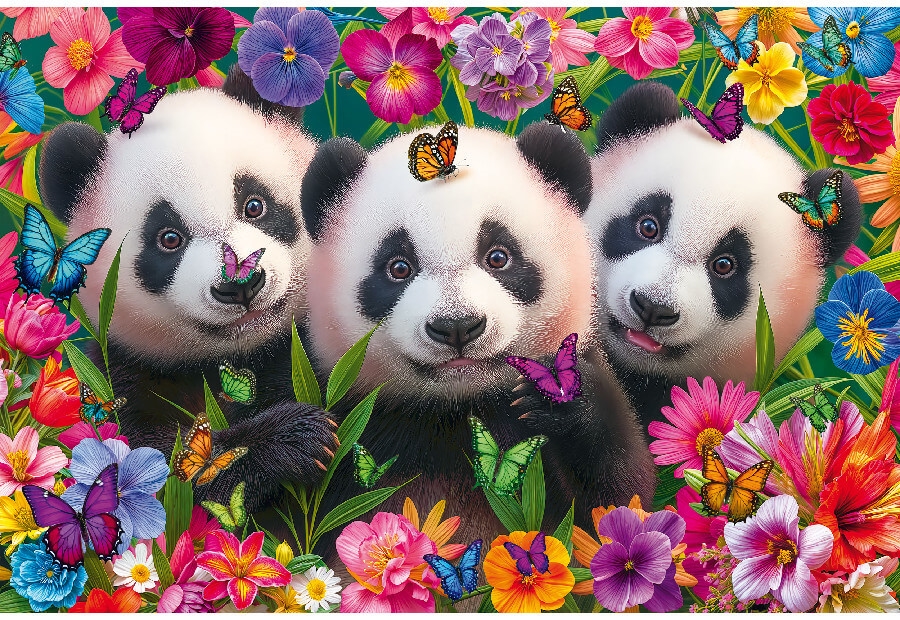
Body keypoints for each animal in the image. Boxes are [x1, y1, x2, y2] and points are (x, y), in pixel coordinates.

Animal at [37, 67, 338, 512]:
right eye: (169, 238)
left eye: (255, 205)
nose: (241, 285)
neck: (242, 354)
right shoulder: (124, 380)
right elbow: (163, 479)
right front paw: (297, 437)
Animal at [300, 121, 656, 543]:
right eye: (398, 267)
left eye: (498, 256)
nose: (456, 326)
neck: (457, 409)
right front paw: (300, 440)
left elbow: (618, 508)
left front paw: (554, 395)